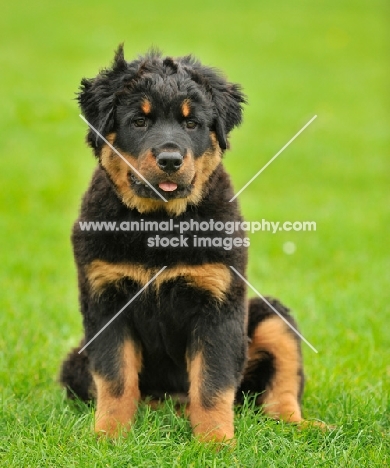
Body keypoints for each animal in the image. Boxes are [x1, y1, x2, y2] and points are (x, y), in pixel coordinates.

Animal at [61, 44, 304, 442]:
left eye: (191, 124)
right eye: (139, 122)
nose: (170, 160)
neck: (159, 221)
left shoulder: (218, 301)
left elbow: (212, 382)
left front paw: (215, 442)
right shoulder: (105, 299)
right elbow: (116, 379)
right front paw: (109, 437)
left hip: (271, 317)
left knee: (281, 389)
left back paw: (303, 426)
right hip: (75, 361)